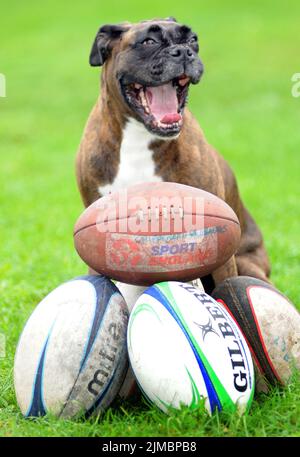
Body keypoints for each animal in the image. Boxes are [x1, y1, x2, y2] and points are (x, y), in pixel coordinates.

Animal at [76, 17, 270, 302]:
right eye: (148, 42)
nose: (183, 52)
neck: (138, 138)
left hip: (247, 262)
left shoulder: (224, 254)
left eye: (193, 40)